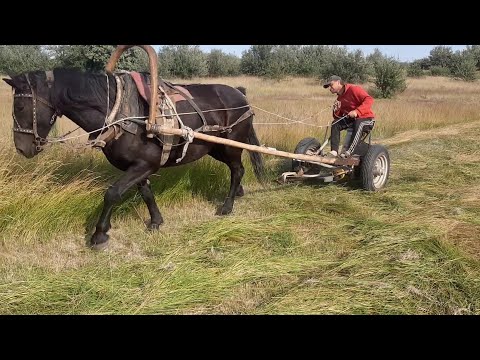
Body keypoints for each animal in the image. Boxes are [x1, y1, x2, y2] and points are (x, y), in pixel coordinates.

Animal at [3, 69, 264, 250]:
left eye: (20, 106)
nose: (22, 148)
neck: (121, 114)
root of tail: (239, 93)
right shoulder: (139, 167)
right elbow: (146, 193)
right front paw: (156, 221)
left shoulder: (144, 165)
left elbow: (112, 193)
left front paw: (99, 234)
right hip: (216, 148)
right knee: (235, 170)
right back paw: (238, 192)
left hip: (230, 146)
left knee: (238, 169)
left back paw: (227, 206)